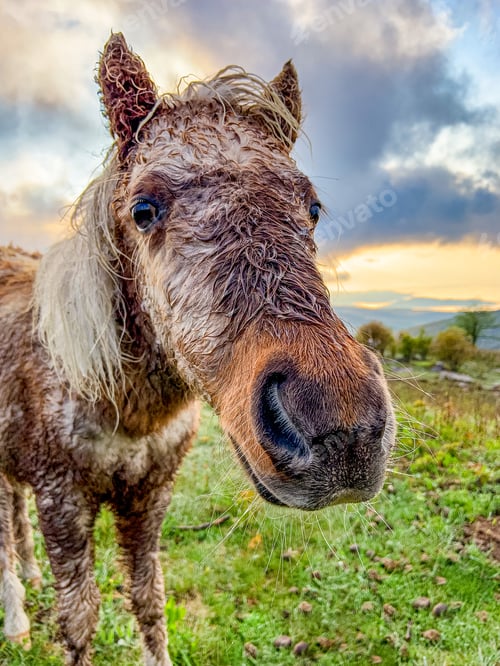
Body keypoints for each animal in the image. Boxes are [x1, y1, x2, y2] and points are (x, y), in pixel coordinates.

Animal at [0, 32, 395, 666]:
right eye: (143, 210)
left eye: (311, 209)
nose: (341, 431)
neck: (119, 402)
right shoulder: (63, 499)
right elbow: (80, 620)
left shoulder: (151, 497)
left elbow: (148, 599)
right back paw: (16, 619)